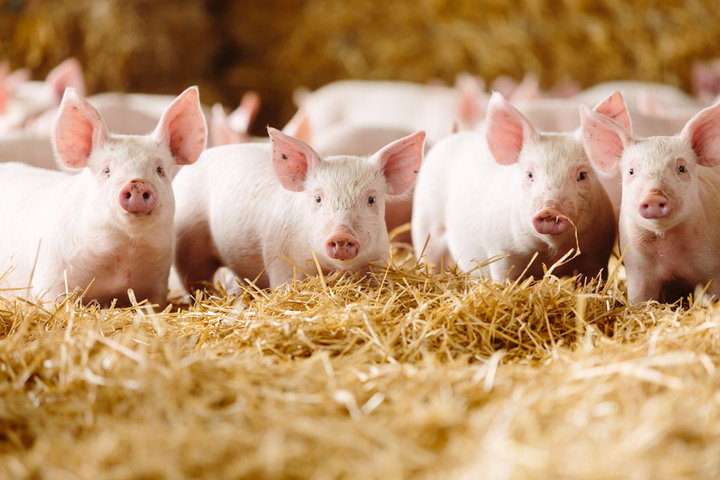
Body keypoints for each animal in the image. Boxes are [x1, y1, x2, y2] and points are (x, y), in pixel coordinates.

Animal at [0, 86, 206, 306]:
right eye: (106, 170)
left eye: (159, 170)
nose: (137, 183)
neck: (123, 256)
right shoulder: (50, 276)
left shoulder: (157, 283)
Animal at [173, 128, 425, 290]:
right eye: (318, 198)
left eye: (371, 199)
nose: (342, 235)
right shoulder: (281, 259)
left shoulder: (378, 260)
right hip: (189, 244)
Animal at [412, 91, 627, 282]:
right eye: (530, 174)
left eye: (582, 175)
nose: (550, 209)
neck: (551, 251)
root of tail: (453, 135)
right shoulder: (503, 254)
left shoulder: (596, 256)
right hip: (426, 224)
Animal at [581, 100, 720, 303]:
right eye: (631, 171)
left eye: (681, 168)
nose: (654, 196)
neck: (668, 247)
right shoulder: (637, 268)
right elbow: (640, 299)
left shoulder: (713, 268)